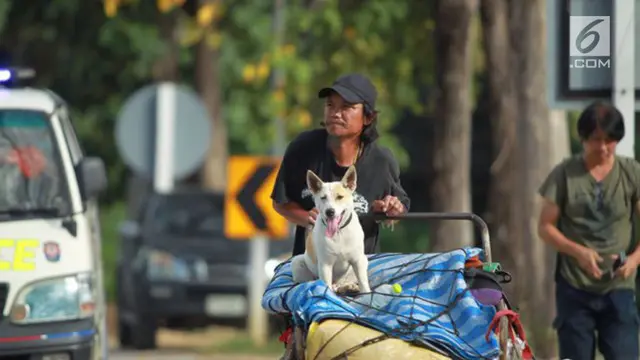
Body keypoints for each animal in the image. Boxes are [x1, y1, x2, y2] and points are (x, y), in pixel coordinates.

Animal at [290, 165, 370, 294]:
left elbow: (363, 281)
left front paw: (366, 292)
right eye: (323, 198)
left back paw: (349, 286)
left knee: (343, 283)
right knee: (312, 281)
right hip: (297, 262)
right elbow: (325, 284)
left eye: (340, 197)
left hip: (364, 260)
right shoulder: (325, 264)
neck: (339, 232)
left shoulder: (358, 260)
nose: (330, 212)